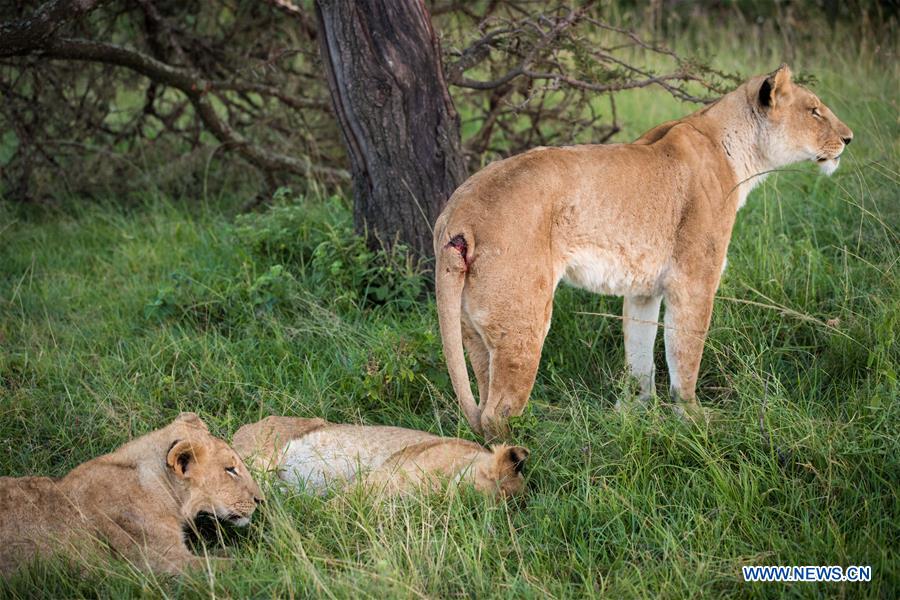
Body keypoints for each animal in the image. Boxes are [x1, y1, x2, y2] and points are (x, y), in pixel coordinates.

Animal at [434, 65, 852, 438]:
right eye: (815, 110)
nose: (849, 139)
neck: (737, 151)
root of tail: (457, 213)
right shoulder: (693, 280)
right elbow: (685, 353)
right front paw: (694, 418)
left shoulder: (643, 287)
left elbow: (640, 354)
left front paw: (635, 411)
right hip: (523, 319)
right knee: (498, 412)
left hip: (472, 327)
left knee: (482, 400)